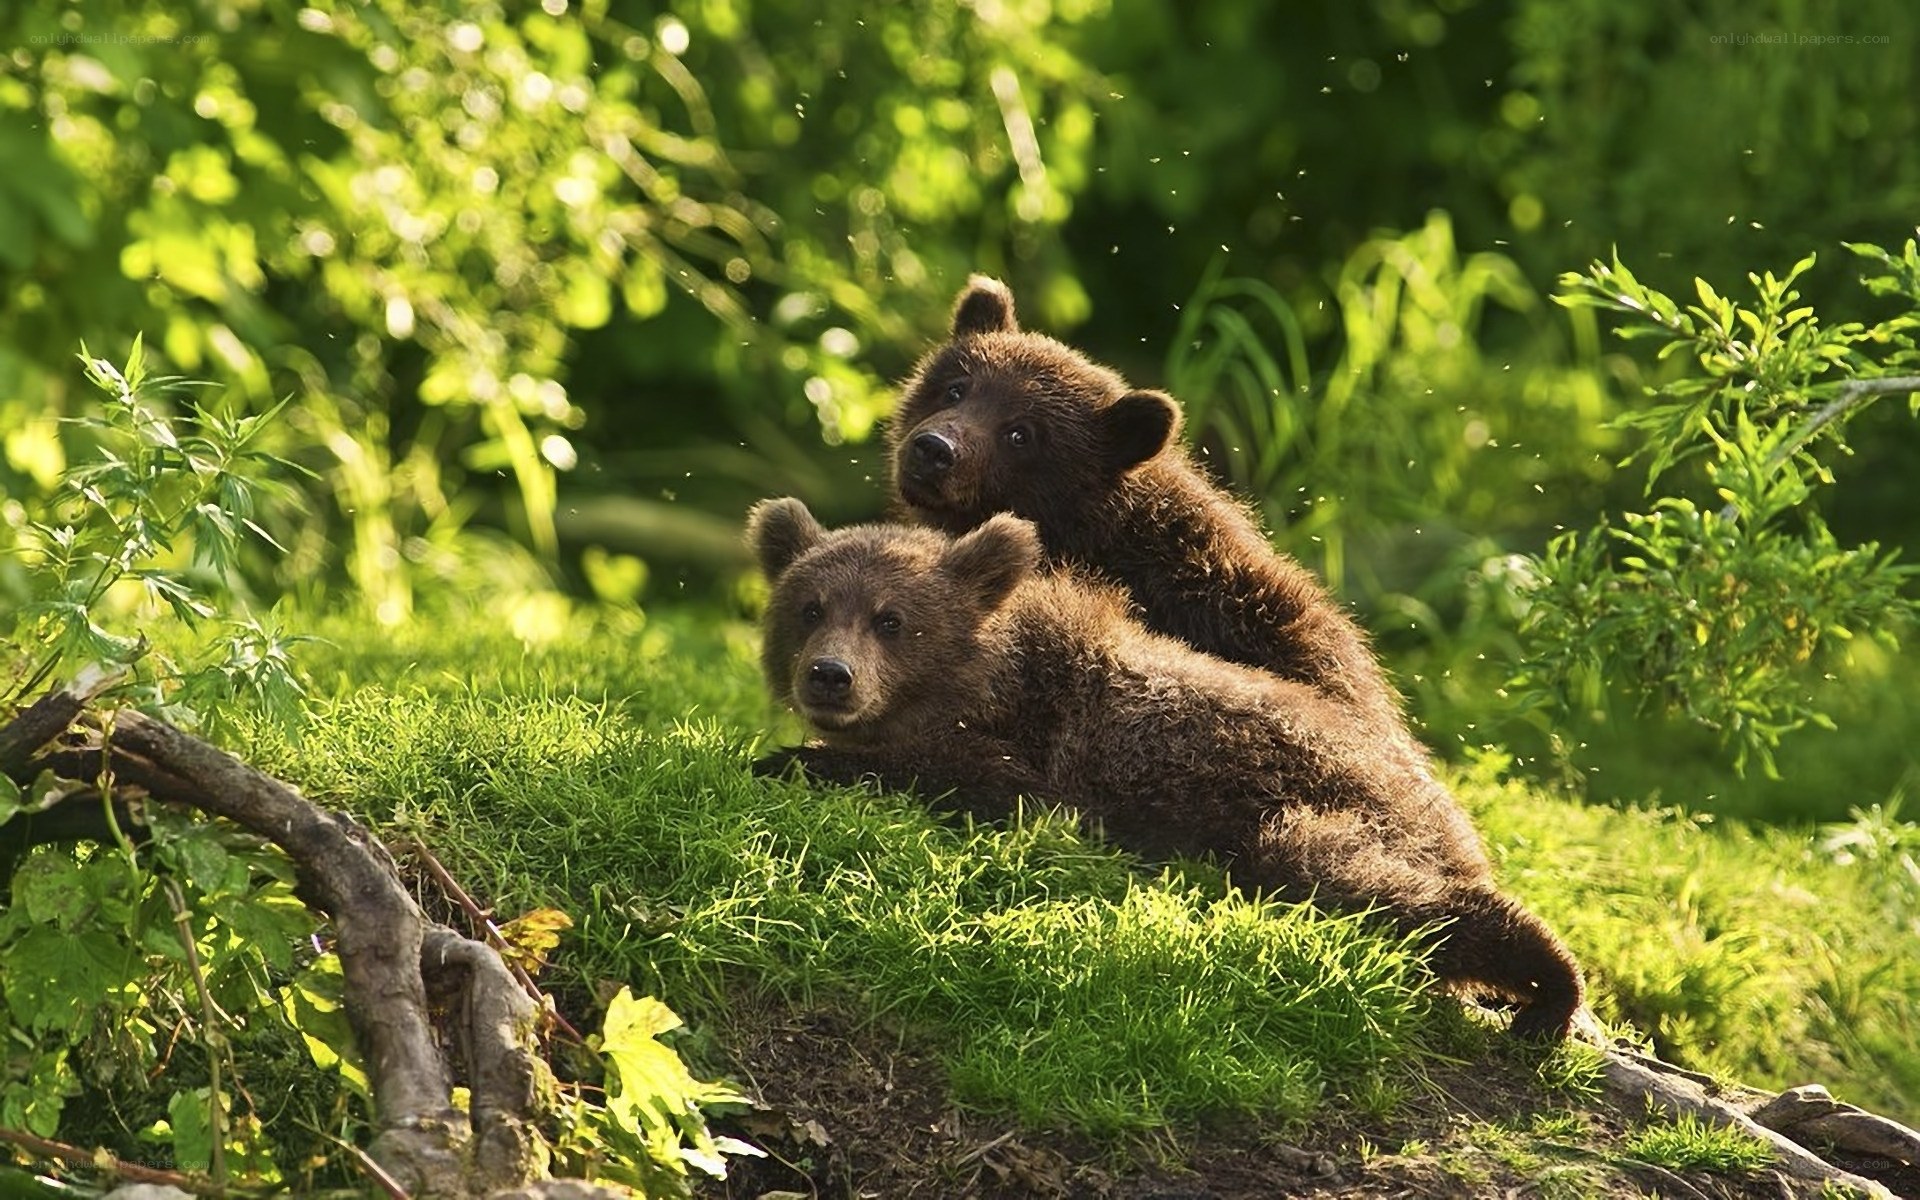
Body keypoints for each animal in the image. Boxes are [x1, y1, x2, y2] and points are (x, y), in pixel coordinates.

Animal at [748, 497, 1587, 1041]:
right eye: (809, 607)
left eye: (891, 619)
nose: (829, 676)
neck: (987, 679)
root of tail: (1450, 813)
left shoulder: (1043, 757)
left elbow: (968, 779)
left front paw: (787, 758)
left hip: (1324, 808)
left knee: (1365, 882)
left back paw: (1548, 985)